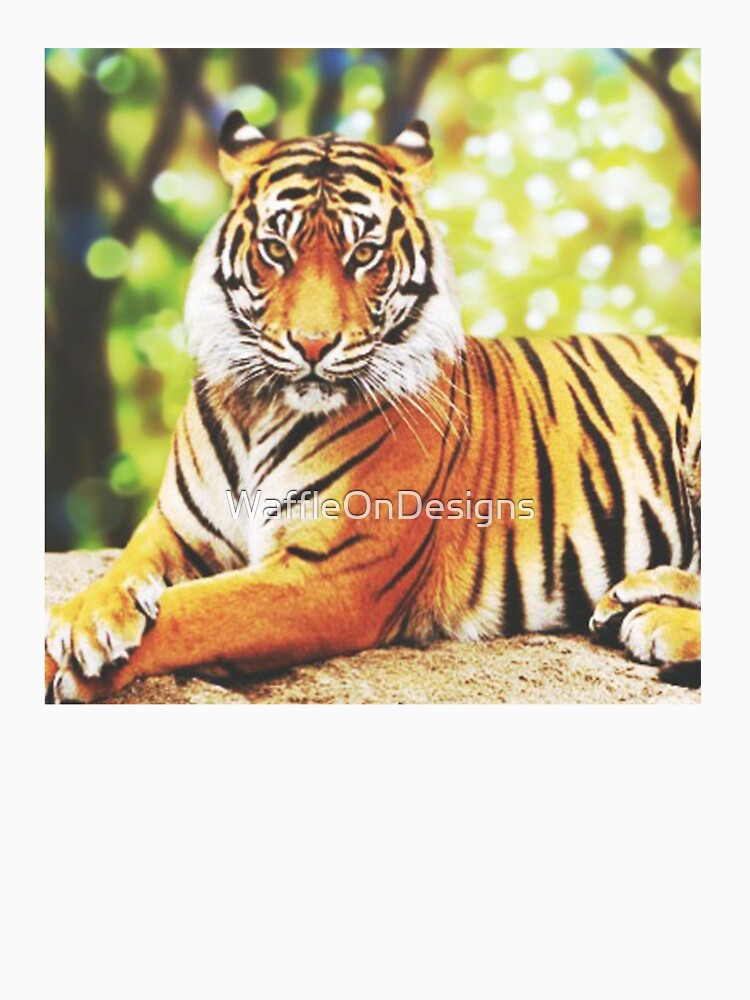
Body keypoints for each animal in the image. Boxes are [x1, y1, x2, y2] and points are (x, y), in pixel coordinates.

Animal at [45, 113, 701, 703]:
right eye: (276, 249)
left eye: (363, 254)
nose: (312, 346)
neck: (259, 410)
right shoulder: (176, 529)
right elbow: (120, 571)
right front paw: (86, 619)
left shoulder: (326, 577)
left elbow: (192, 610)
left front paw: (69, 659)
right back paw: (632, 598)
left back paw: (653, 622)